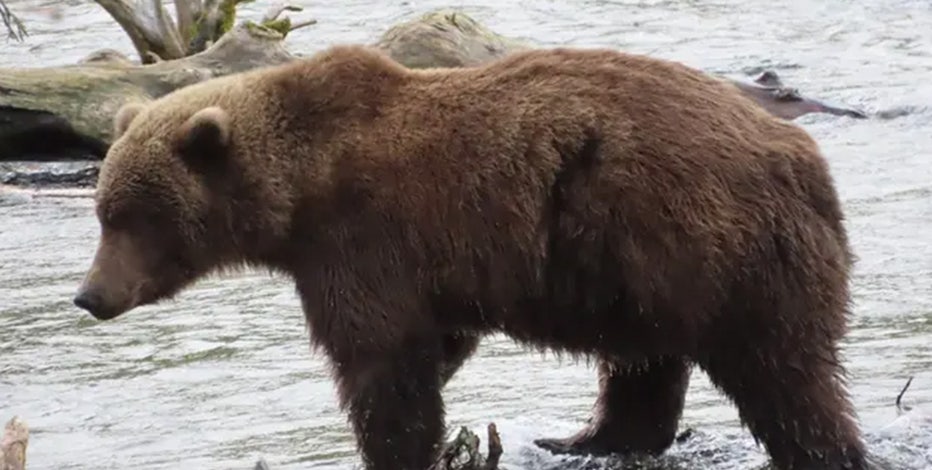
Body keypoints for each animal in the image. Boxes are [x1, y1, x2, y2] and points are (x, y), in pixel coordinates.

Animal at [73, 43, 869, 470]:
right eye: (103, 211)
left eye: (134, 217)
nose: (91, 295)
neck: (301, 187)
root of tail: (804, 157)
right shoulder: (417, 267)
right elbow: (434, 345)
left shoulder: (363, 241)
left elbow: (383, 362)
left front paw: (389, 448)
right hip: (643, 266)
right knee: (645, 361)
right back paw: (581, 437)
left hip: (714, 244)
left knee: (782, 373)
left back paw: (817, 445)